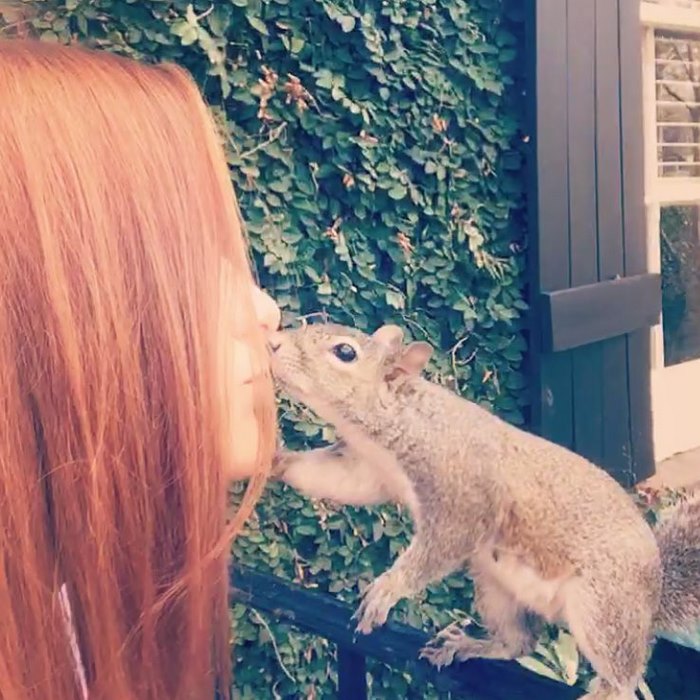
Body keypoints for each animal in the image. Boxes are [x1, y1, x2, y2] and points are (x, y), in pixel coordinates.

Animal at [268, 322, 700, 700]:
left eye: (345, 352)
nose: (273, 343)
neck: (406, 419)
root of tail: (653, 594)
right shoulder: (368, 471)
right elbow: (335, 480)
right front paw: (277, 460)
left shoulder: (463, 501)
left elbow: (441, 546)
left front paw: (387, 589)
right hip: (497, 591)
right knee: (520, 643)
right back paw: (467, 645)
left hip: (603, 607)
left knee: (623, 680)